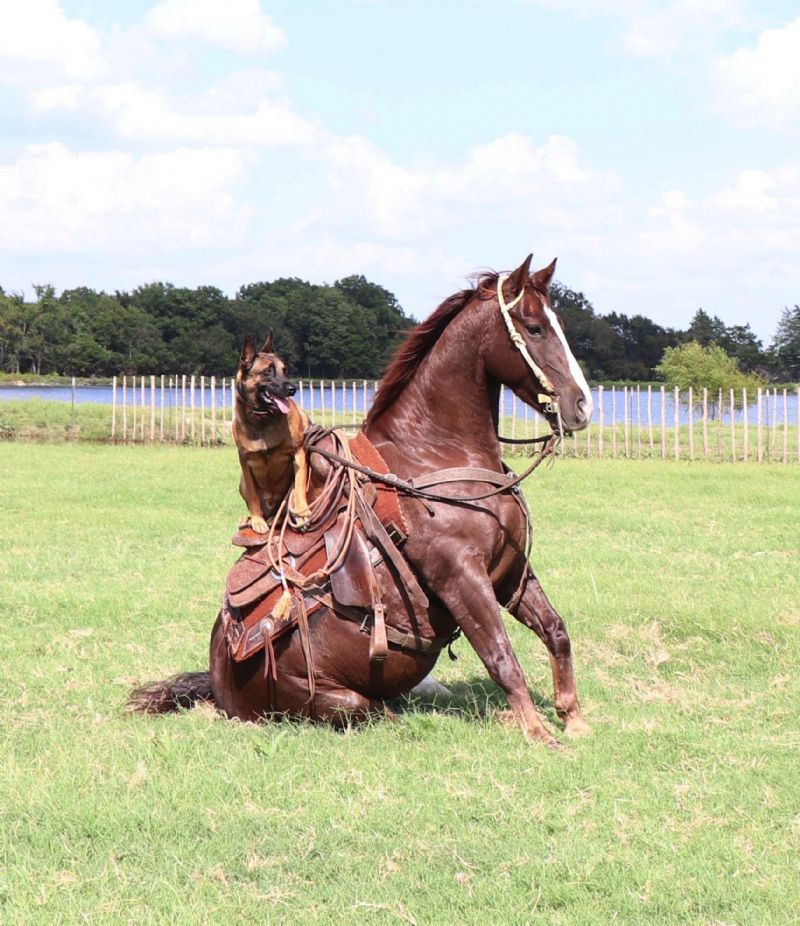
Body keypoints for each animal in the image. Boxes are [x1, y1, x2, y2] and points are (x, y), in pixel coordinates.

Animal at [129, 255, 593, 745]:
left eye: (558, 324)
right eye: (534, 328)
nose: (582, 405)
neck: (435, 455)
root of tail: (218, 685)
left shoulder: (510, 572)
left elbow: (556, 631)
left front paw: (573, 718)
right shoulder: (462, 577)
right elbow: (501, 656)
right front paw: (539, 734)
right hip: (338, 701)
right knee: (371, 710)